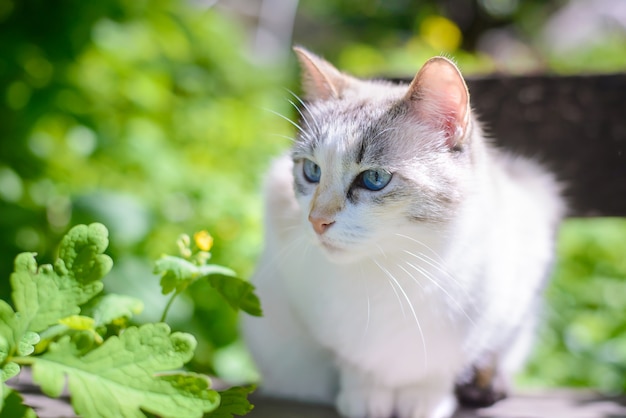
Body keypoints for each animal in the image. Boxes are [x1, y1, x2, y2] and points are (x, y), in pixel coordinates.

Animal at [241, 46, 564, 418]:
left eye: (374, 179)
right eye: (311, 171)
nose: (316, 220)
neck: (396, 268)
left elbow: (439, 371)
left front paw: (424, 403)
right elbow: (356, 365)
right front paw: (366, 400)